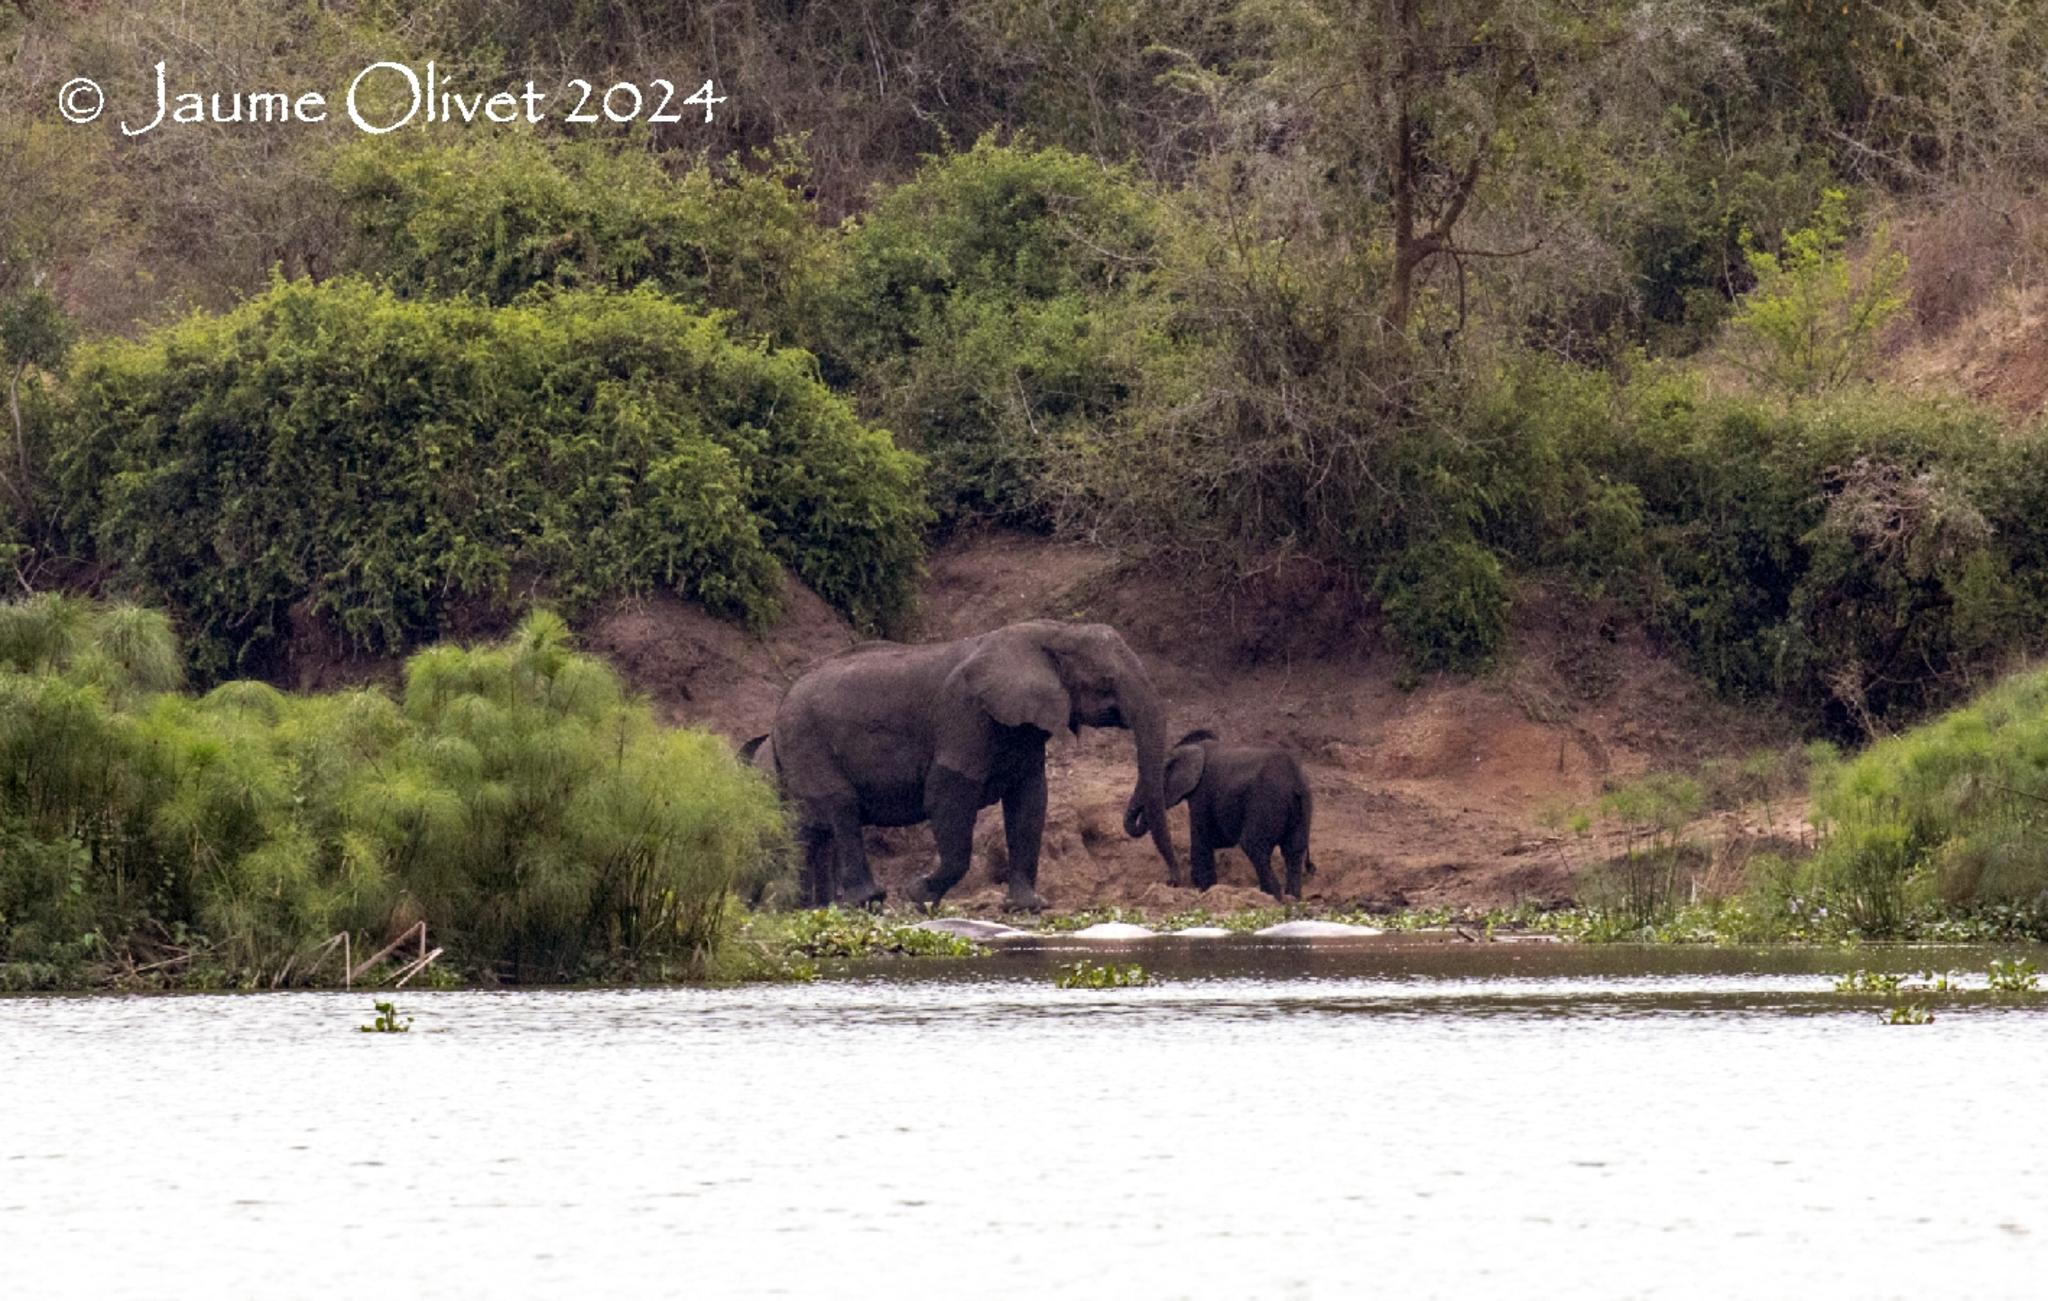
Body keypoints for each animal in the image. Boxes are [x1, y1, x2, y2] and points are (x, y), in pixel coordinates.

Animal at [770, 618, 1187, 905]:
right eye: (1106, 680)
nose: (1174, 880)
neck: (1053, 632)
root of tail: (782, 703)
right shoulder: (965, 713)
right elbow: (948, 790)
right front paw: (918, 894)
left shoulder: (1021, 726)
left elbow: (1029, 799)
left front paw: (1028, 907)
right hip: (806, 739)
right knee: (841, 809)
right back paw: (868, 900)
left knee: (805, 827)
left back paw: (804, 908)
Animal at [1122, 729, 1310, 901]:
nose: (1170, 882)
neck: (1191, 748)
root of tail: (1295, 781)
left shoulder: (1202, 792)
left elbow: (1201, 839)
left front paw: (1204, 890)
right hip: (1303, 806)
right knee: (1294, 849)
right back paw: (1291, 898)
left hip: (1266, 800)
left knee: (1254, 846)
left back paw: (1274, 897)